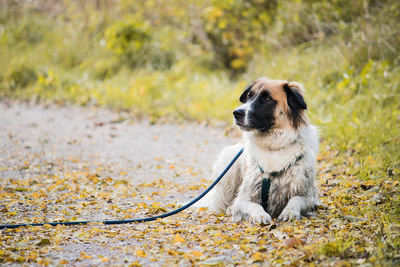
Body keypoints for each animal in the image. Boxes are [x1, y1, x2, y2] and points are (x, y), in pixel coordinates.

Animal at [198, 78, 320, 224]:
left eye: (267, 98)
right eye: (249, 96)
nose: (236, 113)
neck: (273, 146)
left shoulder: (307, 195)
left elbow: (295, 199)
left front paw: (289, 212)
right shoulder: (245, 196)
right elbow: (252, 205)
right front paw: (259, 215)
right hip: (229, 162)